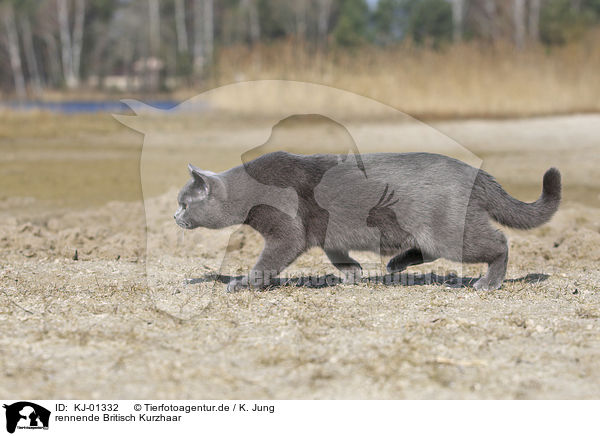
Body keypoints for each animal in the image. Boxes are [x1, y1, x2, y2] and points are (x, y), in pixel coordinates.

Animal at [175, 152, 564, 292]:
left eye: (183, 203)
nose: (174, 215)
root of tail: (479, 174)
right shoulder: (327, 234)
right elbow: (338, 255)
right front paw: (353, 275)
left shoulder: (288, 233)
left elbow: (267, 262)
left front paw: (241, 283)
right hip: (432, 230)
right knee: (428, 250)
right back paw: (395, 263)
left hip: (451, 231)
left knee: (500, 243)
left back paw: (488, 282)